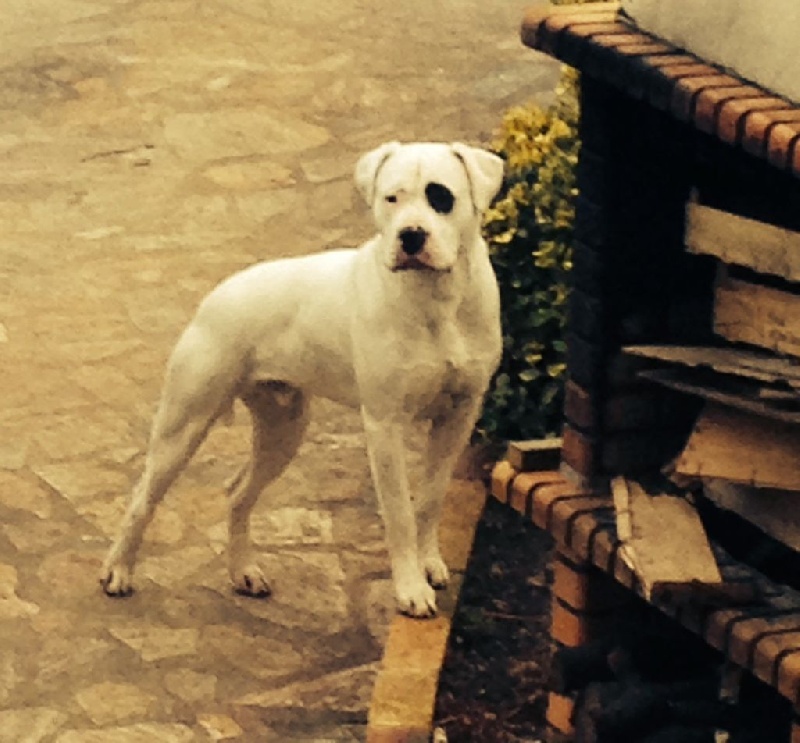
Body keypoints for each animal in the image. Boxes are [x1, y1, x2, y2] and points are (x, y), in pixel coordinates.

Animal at [100, 141, 504, 617]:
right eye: (391, 198)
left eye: (441, 196)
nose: (410, 236)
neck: (438, 299)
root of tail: (216, 294)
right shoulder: (384, 425)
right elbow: (400, 514)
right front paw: (410, 589)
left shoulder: (459, 416)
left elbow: (430, 499)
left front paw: (429, 565)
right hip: (184, 426)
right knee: (143, 499)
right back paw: (117, 572)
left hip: (283, 428)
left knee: (238, 493)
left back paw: (244, 572)